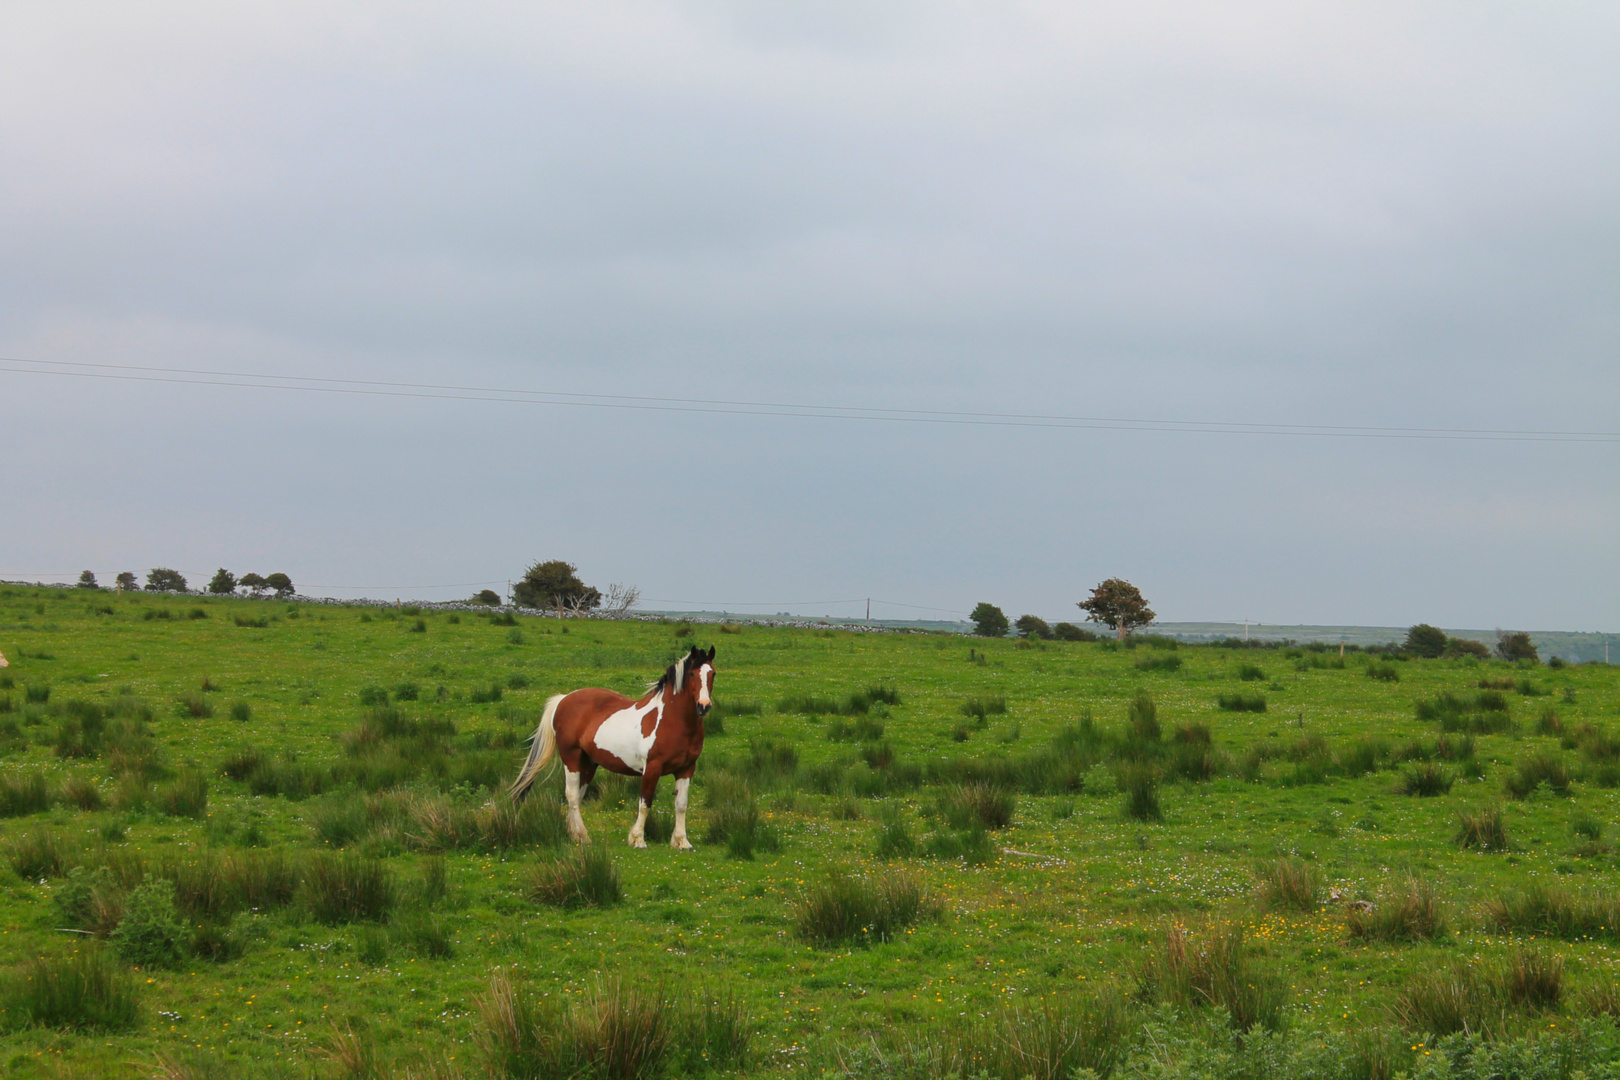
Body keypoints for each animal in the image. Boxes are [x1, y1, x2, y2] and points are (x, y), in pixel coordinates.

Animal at [505, 647, 709, 848]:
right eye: (692, 674)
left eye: (712, 673)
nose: (704, 706)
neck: (671, 721)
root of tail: (563, 699)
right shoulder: (652, 768)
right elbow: (645, 803)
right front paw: (638, 839)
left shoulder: (686, 769)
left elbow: (681, 804)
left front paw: (682, 841)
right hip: (571, 757)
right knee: (572, 795)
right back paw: (584, 836)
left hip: (588, 763)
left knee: (578, 795)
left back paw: (575, 835)